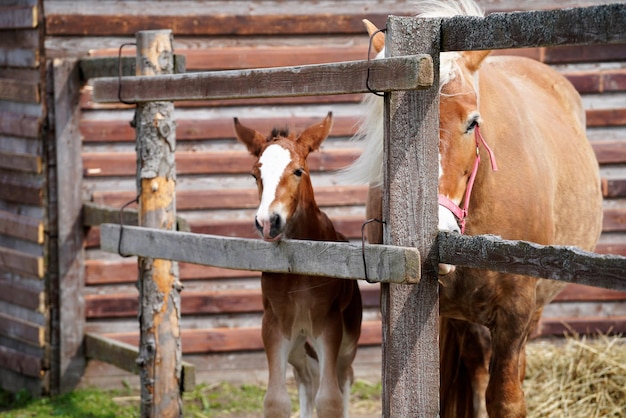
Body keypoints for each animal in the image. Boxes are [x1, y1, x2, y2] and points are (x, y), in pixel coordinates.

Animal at [233, 112, 360, 418]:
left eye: (298, 171)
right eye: (255, 175)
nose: (268, 222)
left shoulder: (328, 326)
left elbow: (330, 400)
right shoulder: (274, 327)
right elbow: (276, 401)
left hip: (345, 343)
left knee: (344, 377)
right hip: (298, 346)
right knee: (306, 378)